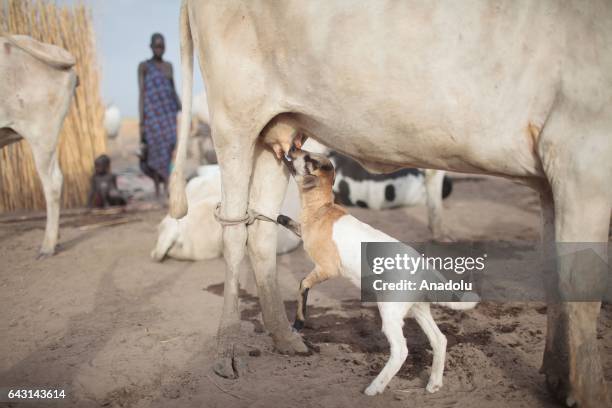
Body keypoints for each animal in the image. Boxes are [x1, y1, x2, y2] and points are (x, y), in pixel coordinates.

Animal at [169, 1, 612, 404]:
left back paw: (289, 340)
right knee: (233, 230)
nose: (298, 156)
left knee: (260, 235)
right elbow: (582, 284)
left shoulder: (555, 177)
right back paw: (227, 355)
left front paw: (560, 378)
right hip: (235, 119)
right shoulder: (581, 156)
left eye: (310, 160)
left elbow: (558, 275)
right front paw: (585, 390)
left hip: (276, 129)